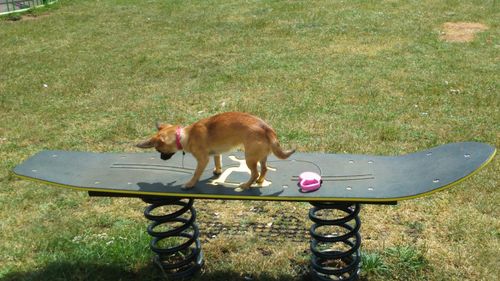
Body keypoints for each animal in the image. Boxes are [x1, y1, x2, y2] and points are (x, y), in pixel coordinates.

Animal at [135, 111, 294, 188]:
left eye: (159, 151)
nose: (162, 158)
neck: (185, 135)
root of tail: (266, 129)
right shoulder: (217, 153)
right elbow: (218, 161)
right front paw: (218, 171)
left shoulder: (202, 160)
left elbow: (196, 173)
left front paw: (190, 184)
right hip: (261, 156)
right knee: (264, 169)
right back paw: (260, 181)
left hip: (249, 158)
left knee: (254, 173)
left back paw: (246, 186)